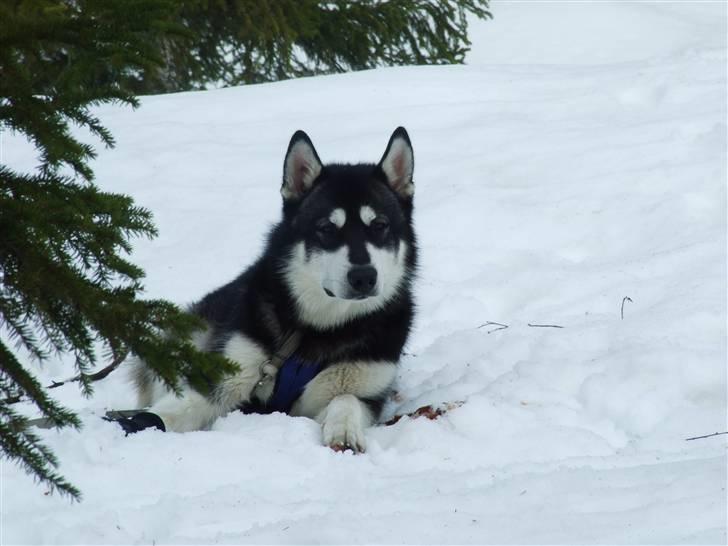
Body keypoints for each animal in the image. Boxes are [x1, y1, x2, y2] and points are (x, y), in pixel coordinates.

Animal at [125, 127, 416, 450]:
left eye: (379, 226)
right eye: (326, 229)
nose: (364, 276)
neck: (316, 330)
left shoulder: (365, 387)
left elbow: (347, 398)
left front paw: (343, 430)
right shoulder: (229, 377)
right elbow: (174, 410)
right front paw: (136, 425)